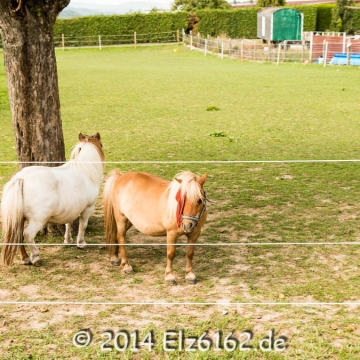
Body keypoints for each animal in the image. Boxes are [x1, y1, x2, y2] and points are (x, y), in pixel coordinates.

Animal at [1, 133, 105, 268]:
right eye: (101, 144)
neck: (84, 171)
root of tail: (20, 178)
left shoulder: (71, 208)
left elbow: (68, 223)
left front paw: (68, 240)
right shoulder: (88, 208)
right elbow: (83, 225)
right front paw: (81, 243)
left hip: (19, 218)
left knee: (18, 235)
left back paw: (25, 258)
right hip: (38, 220)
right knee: (28, 234)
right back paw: (35, 258)